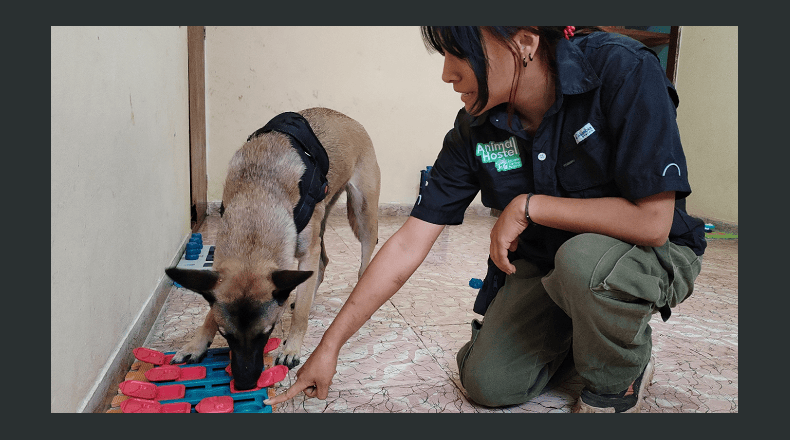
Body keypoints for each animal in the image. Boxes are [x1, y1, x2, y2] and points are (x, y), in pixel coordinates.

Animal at [166, 108, 382, 390]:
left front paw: (291, 348)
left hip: (363, 213)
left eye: (267, 333)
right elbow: (212, 310)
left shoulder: (306, 252)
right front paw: (196, 343)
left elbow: (300, 314)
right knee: (323, 262)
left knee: (364, 258)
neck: (257, 200)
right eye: (226, 335)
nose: (245, 383)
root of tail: (348, 118)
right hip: (324, 219)